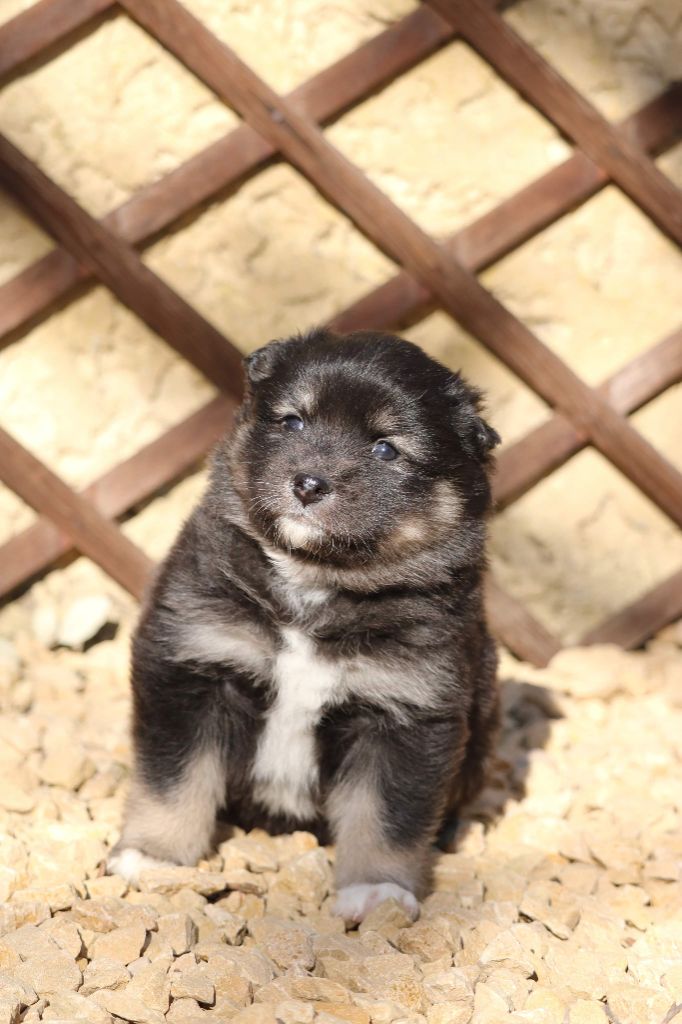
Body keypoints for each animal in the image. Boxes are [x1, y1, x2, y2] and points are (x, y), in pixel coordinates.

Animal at [107, 327, 499, 921]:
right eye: (293, 421)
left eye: (386, 448)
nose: (309, 484)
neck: (312, 587)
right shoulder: (192, 664)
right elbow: (174, 777)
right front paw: (154, 856)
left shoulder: (407, 713)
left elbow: (386, 816)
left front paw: (376, 892)